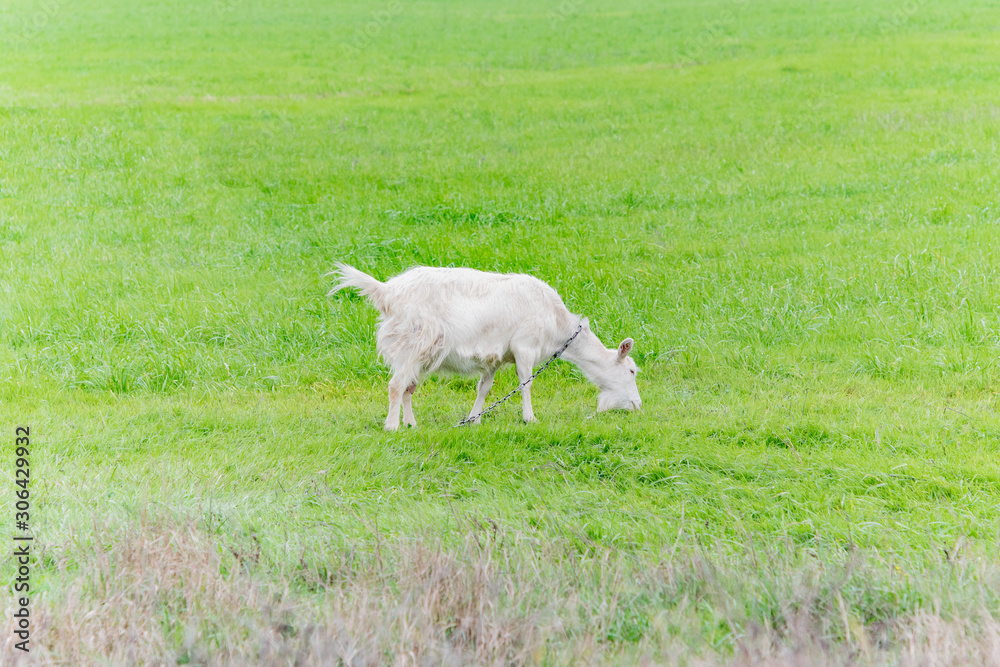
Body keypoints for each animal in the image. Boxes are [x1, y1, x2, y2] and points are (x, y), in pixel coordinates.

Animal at [330, 264, 641, 430]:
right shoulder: (525, 347)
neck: (557, 322)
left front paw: (474, 419)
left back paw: (411, 423)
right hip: (413, 341)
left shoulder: (496, 358)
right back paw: (392, 426)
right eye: (632, 371)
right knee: (396, 385)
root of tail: (387, 293)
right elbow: (527, 382)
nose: (638, 405)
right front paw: (530, 418)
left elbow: (485, 388)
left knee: (408, 386)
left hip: (420, 351)